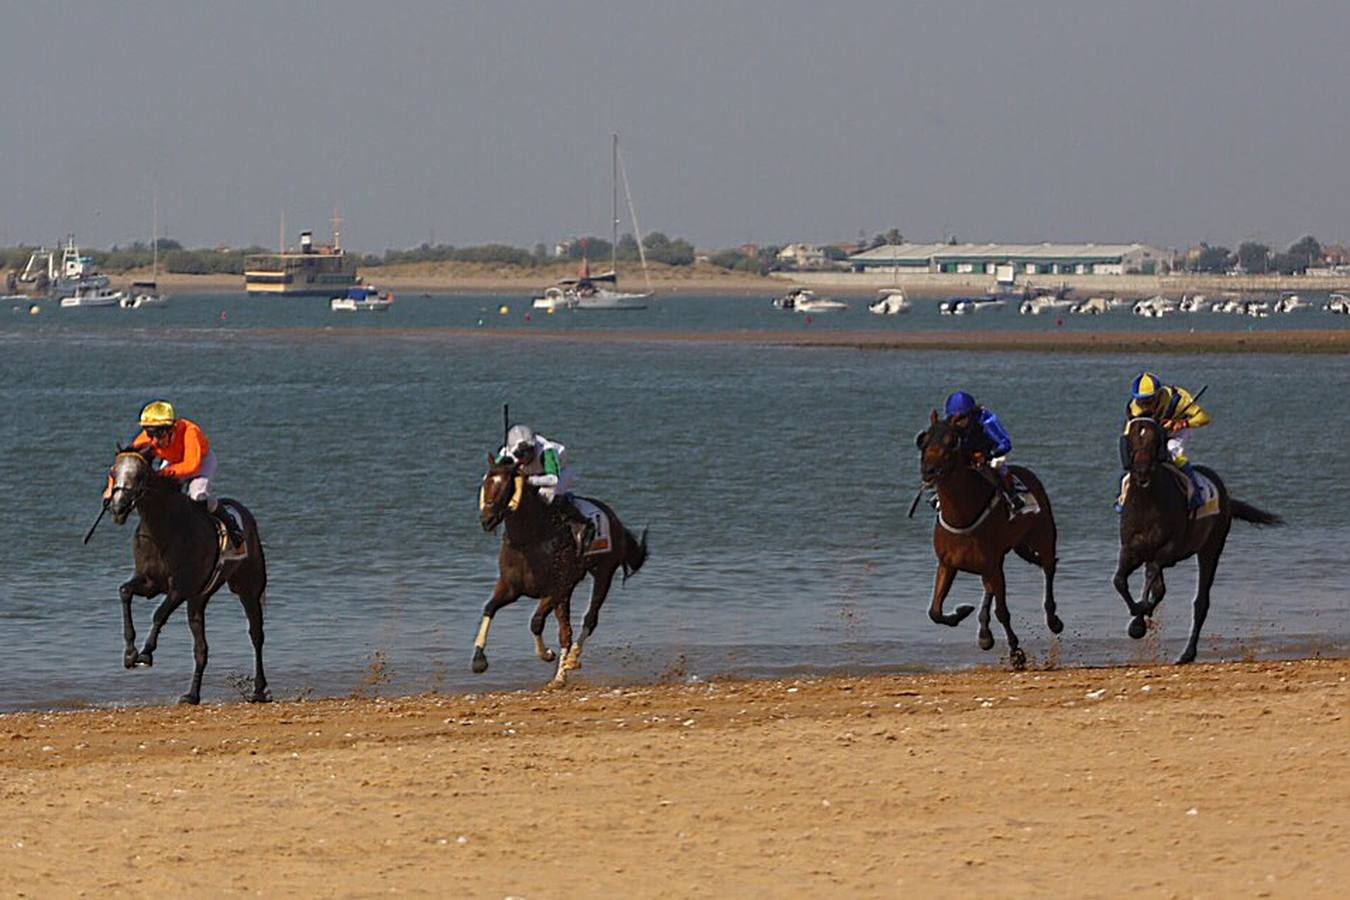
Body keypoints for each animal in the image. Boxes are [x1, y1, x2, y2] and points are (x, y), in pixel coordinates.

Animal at [105, 447, 268, 701]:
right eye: (113, 472)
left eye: (139, 475)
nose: (118, 508)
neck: (162, 528)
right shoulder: (151, 582)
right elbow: (124, 591)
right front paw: (130, 653)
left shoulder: (181, 587)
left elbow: (159, 614)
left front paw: (145, 654)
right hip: (199, 599)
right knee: (201, 648)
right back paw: (191, 695)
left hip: (248, 587)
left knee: (256, 635)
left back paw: (259, 690)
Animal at [475, 458, 648, 690]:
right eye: (486, 483)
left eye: (505, 486)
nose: (487, 519)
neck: (529, 539)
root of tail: (613, 518)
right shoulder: (511, 587)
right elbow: (489, 608)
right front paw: (478, 660)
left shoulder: (556, 589)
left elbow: (536, 622)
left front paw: (547, 653)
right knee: (566, 631)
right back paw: (560, 676)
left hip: (602, 574)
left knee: (589, 619)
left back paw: (571, 660)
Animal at [918, 412, 1063, 666]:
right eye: (924, 440)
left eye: (952, 442)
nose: (929, 470)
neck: (962, 515)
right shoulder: (948, 563)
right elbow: (935, 611)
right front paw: (962, 612)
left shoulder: (993, 564)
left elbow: (1003, 611)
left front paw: (1016, 652)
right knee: (989, 589)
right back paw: (984, 633)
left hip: (1043, 536)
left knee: (1048, 568)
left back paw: (1053, 618)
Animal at [1117, 418, 1285, 666]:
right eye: (1131, 438)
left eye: (1155, 439)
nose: (1142, 471)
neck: (1147, 502)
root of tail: (1225, 494)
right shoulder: (1131, 549)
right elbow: (1120, 580)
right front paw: (1138, 616)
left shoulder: (1169, 549)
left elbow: (1150, 577)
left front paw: (1138, 621)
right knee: (1161, 588)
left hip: (1210, 549)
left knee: (1201, 602)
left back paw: (1187, 653)